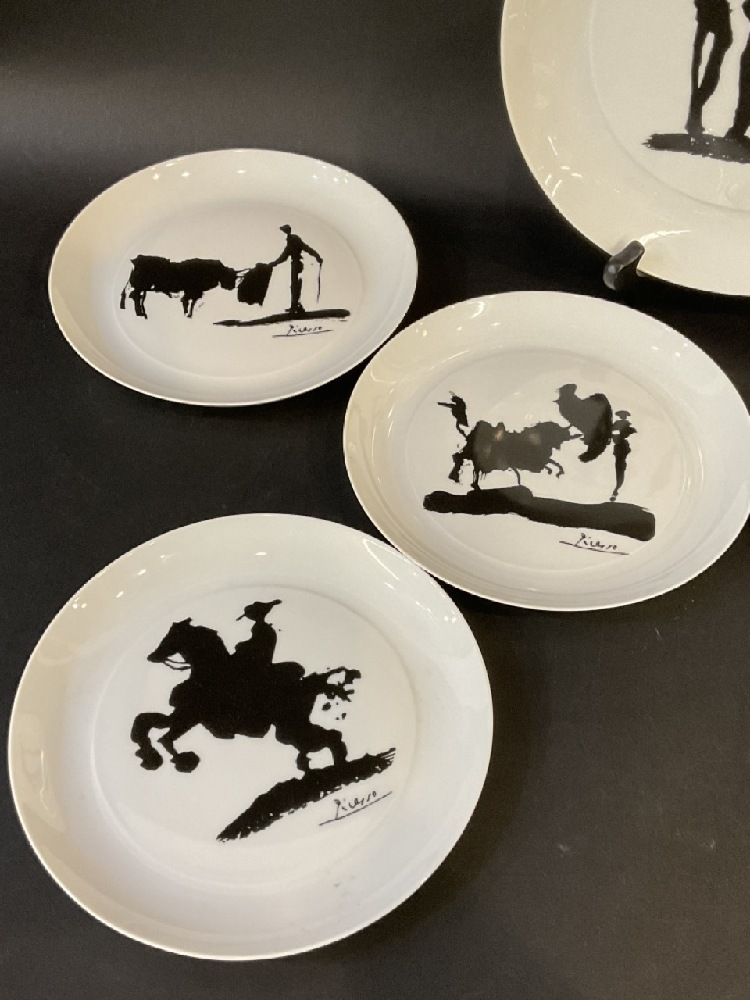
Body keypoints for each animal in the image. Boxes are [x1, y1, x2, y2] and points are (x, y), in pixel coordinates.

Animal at [130, 617, 360, 775]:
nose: (152, 656)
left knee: (329, 738)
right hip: (290, 727)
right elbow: (146, 722)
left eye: (171, 636)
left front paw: (180, 760)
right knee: (328, 738)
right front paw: (149, 755)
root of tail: (308, 685)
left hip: (290, 727)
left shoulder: (189, 716)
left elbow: (165, 738)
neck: (209, 672)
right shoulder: (182, 714)